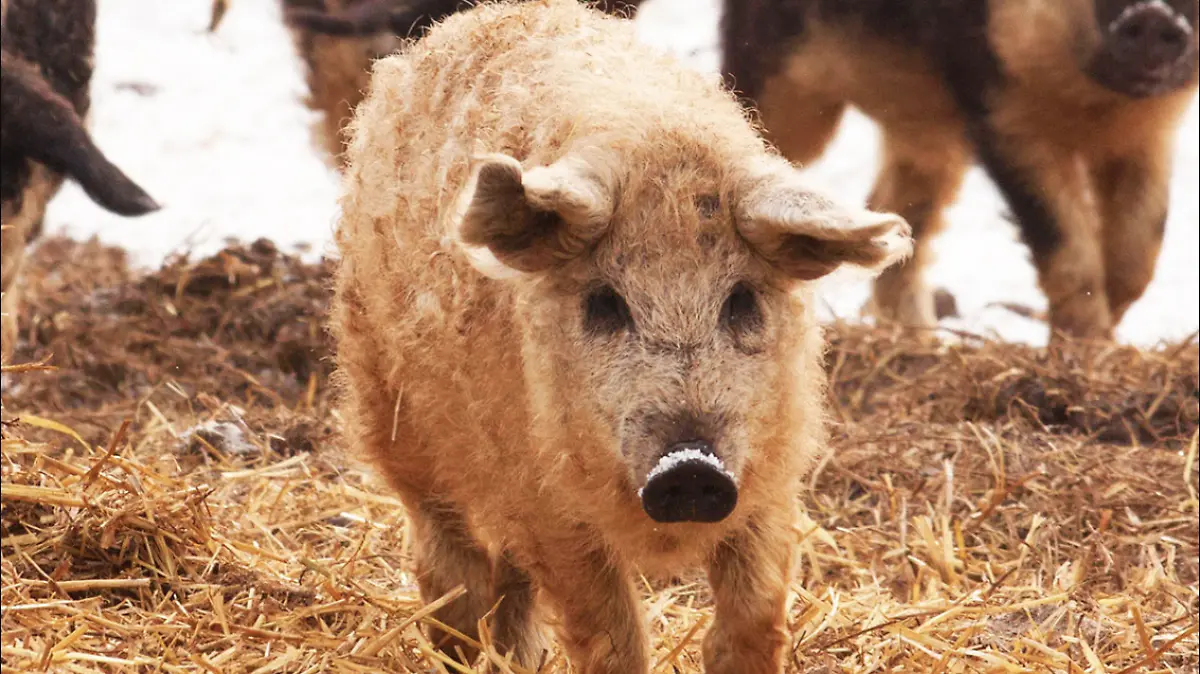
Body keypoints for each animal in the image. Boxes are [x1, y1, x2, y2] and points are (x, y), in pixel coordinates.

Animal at [329, 1, 912, 672]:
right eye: (605, 303)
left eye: (740, 299)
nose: (690, 468)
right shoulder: (550, 504)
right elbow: (609, 634)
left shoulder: (770, 473)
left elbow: (757, 610)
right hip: (387, 399)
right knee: (446, 553)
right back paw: (464, 646)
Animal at [720, 0, 1200, 341]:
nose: (1154, 13)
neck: (1097, 106)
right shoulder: (1001, 111)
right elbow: (1063, 241)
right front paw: (1085, 348)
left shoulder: (1153, 134)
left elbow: (1140, 249)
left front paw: (1105, 335)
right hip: (778, 75)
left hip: (925, 125)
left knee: (895, 211)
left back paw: (924, 345)